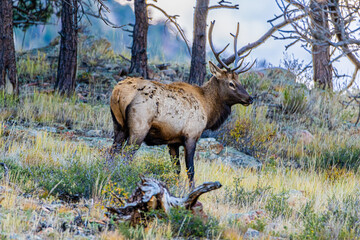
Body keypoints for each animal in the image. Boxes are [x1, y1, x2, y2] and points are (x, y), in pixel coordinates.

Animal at [111, 20, 255, 188]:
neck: (208, 109)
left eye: (239, 81)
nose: (250, 98)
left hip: (118, 125)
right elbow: (190, 170)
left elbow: (177, 170)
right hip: (138, 127)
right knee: (126, 156)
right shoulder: (191, 135)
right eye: (231, 83)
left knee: (111, 153)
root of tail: (118, 92)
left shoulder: (173, 141)